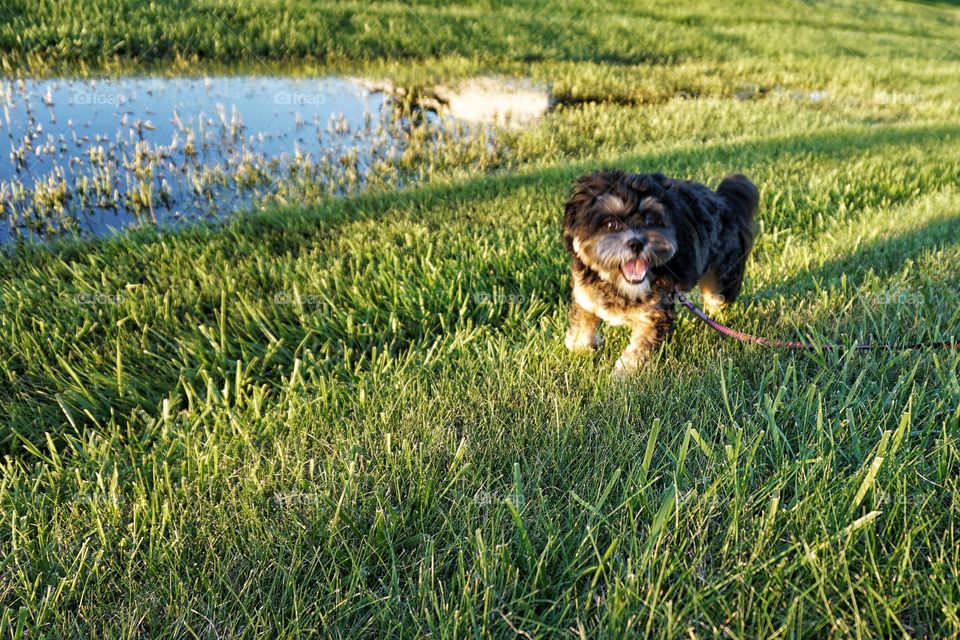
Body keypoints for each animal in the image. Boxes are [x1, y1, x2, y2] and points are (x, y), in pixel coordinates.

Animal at [564, 169, 756, 376]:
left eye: (652, 220)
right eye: (610, 224)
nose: (636, 243)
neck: (621, 286)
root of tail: (723, 201)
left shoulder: (656, 312)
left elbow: (639, 348)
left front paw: (623, 375)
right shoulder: (585, 295)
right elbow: (582, 324)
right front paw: (580, 347)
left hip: (723, 272)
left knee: (717, 299)